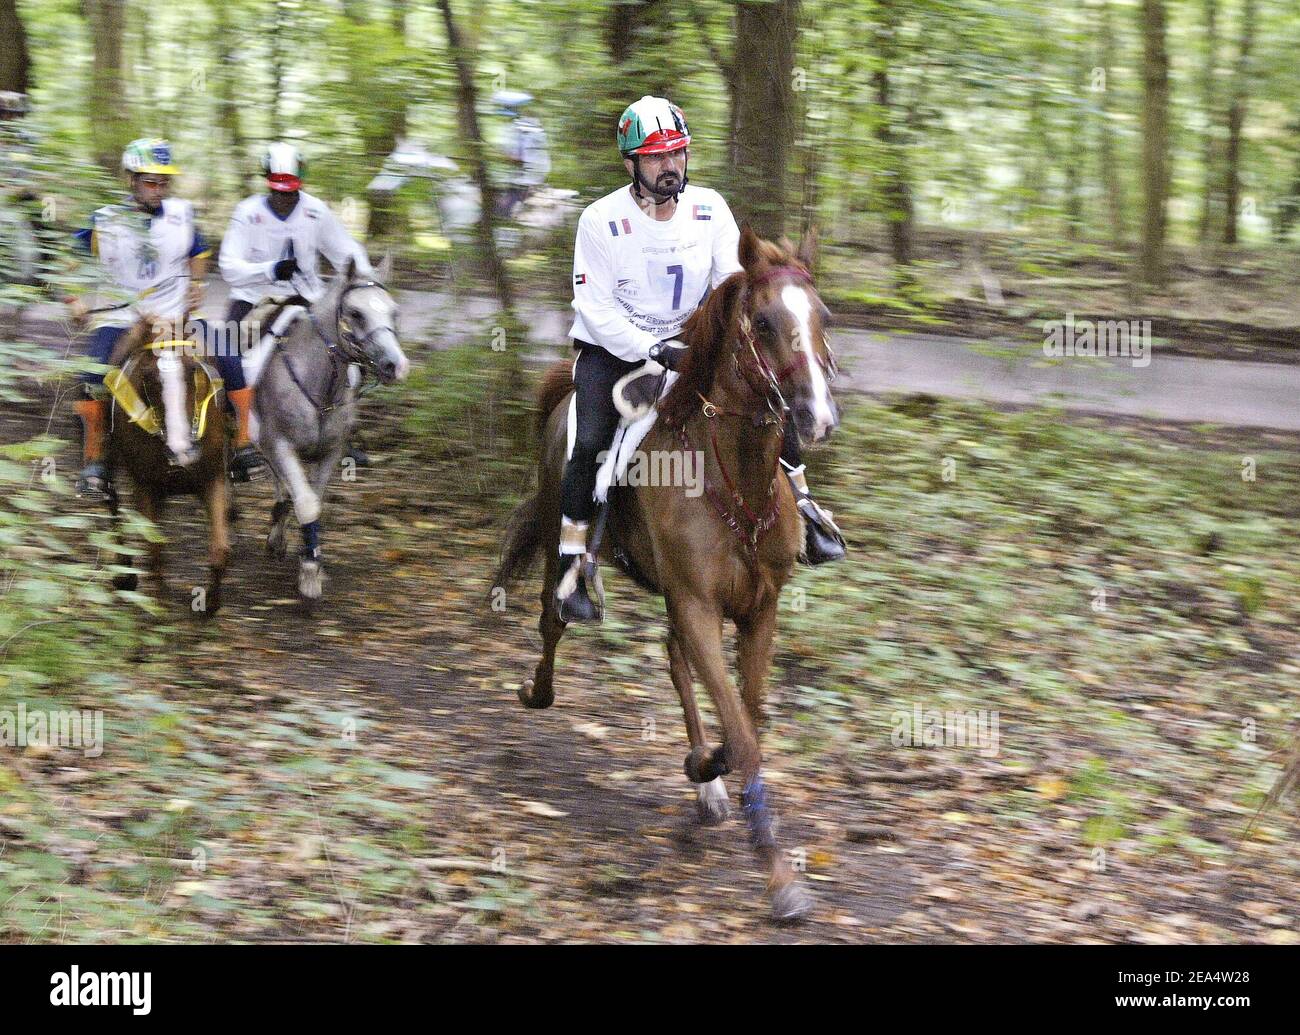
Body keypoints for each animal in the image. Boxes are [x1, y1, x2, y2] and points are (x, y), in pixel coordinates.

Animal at [244, 253, 405, 603]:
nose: (395, 365)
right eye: (356, 313)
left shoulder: (330, 452)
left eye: (394, 312)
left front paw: (310, 560)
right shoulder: (279, 443)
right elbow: (306, 504)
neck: (318, 384)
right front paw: (308, 573)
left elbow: (313, 501)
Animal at [488, 228, 842, 920]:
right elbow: (743, 734)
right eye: (764, 323)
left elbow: (745, 719)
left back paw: (705, 784)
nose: (815, 418)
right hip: (565, 542)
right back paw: (536, 689)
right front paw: (779, 878)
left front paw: (709, 769)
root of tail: (561, 397)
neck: (736, 484)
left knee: (675, 660)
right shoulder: (699, 604)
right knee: (552, 617)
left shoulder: (759, 608)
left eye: (822, 317)